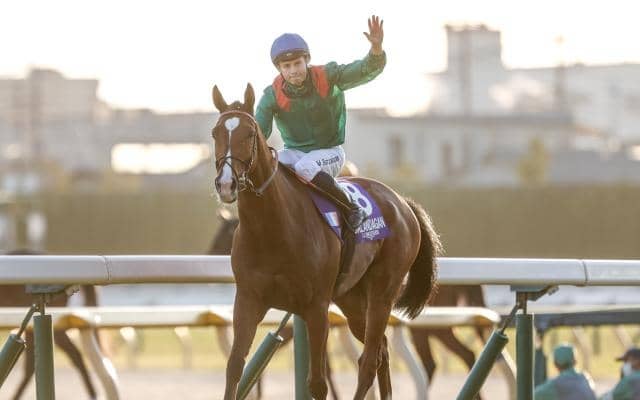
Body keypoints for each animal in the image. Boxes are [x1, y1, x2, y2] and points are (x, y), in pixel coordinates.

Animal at [210, 84, 440, 400]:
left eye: (249, 133)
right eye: (215, 133)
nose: (226, 184)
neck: (272, 229)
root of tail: (403, 202)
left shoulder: (316, 307)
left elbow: (318, 382)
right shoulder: (248, 300)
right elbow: (235, 367)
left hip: (382, 292)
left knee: (369, 360)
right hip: (351, 299)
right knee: (381, 351)